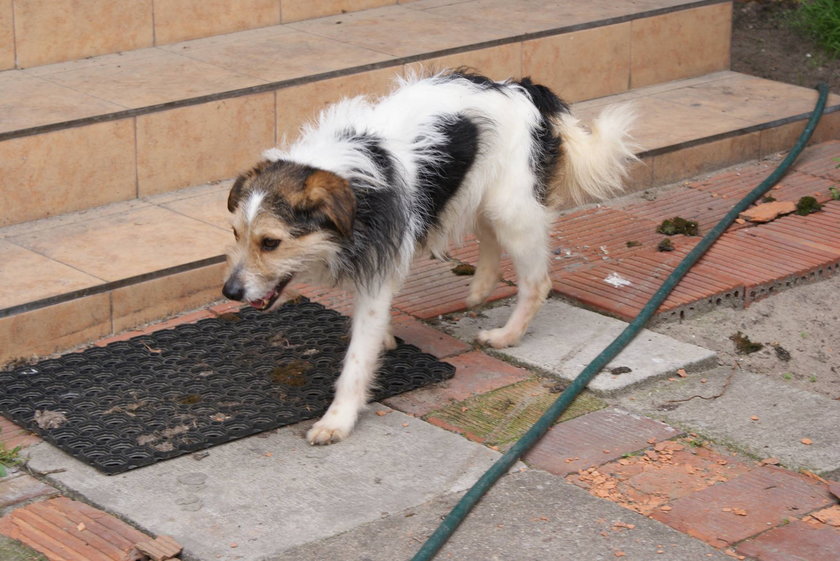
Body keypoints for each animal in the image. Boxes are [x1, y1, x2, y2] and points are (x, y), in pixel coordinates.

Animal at [223, 70, 636, 444]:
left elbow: (357, 360)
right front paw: (386, 339)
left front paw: (338, 419)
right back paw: (481, 286)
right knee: (488, 235)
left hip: (512, 209)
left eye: (270, 243)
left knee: (537, 281)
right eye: (236, 234)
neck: (354, 187)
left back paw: (507, 334)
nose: (229, 292)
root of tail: (520, 88)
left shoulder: (376, 277)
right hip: (477, 193)